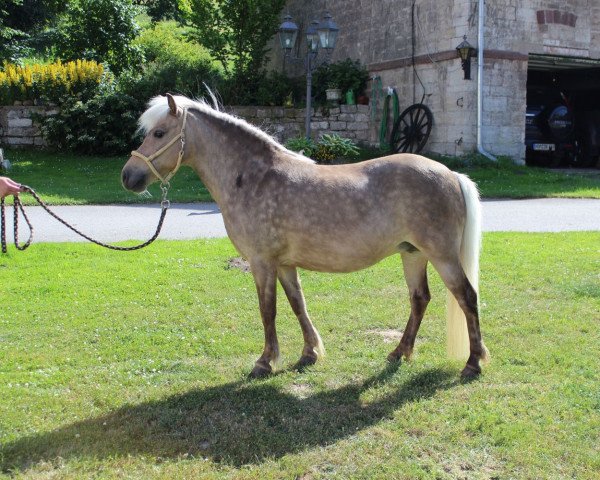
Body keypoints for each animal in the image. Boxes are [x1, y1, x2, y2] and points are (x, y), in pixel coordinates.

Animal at [120, 94, 488, 378]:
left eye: (159, 132)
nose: (128, 176)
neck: (253, 176)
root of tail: (451, 174)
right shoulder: (284, 264)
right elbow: (298, 305)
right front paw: (309, 353)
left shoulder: (262, 263)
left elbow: (267, 310)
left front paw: (265, 362)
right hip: (412, 253)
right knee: (419, 299)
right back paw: (399, 352)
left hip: (442, 256)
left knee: (467, 297)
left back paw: (472, 364)